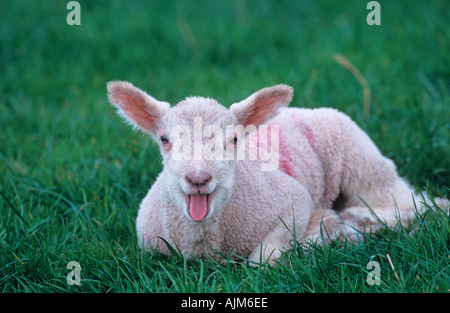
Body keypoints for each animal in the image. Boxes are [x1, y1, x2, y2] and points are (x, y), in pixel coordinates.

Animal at [107, 80, 448, 264]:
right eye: (164, 140)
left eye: (234, 140)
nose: (198, 179)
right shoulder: (149, 244)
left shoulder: (292, 201)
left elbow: (263, 261)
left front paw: (315, 237)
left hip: (364, 164)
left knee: (410, 203)